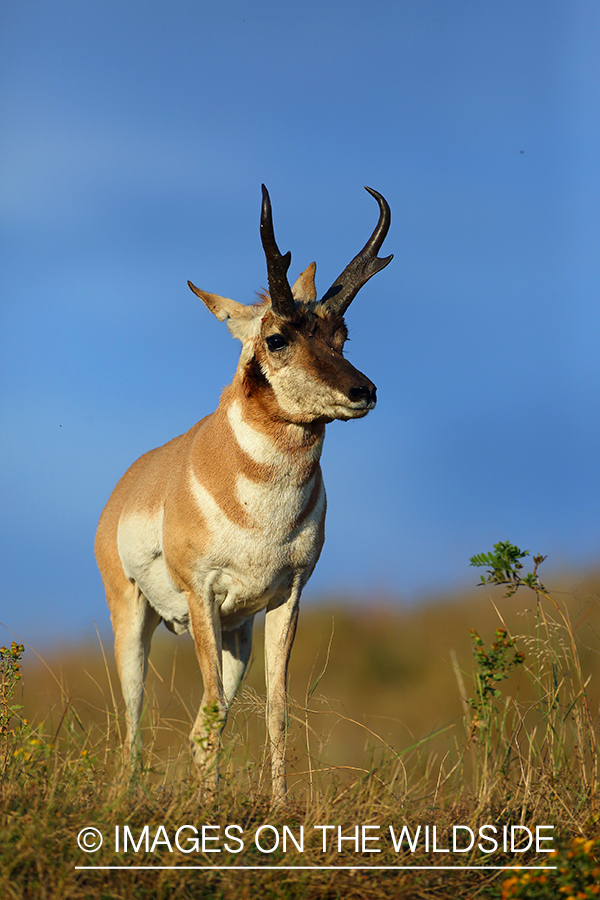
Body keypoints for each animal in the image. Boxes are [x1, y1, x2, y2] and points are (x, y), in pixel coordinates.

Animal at [94, 185, 392, 800]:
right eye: (276, 338)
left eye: (342, 335)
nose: (364, 391)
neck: (261, 513)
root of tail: (128, 483)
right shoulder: (202, 594)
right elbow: (210, 713)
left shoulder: (286, 599)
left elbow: (275, 710)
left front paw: (280, 807)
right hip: (132, 614)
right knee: (135, 716)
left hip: (238, 635)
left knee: (200, 723)